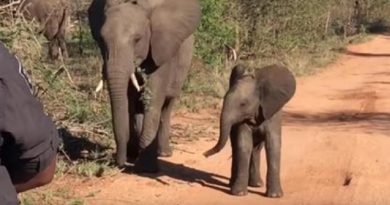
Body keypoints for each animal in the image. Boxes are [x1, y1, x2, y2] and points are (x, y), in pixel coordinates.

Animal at [88, 0, 201, 171]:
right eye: (101, 40)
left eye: (137, 39)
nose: (120, 163)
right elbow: (129, 100)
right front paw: (134, 155)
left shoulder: (161, 49)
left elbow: (153, 100)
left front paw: (146, 168)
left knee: (167, 105)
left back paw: (164, 153)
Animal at [204, 64, 296, 197]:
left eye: (243, 104)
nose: (204, 154)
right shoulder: (242, 121)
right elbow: (244, 145)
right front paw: (239, 193)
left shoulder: (272, 113)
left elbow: (273, 145)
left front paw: (275, 196)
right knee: (238, 147)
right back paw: (235, 184)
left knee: (257, 149)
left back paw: (256, 184)